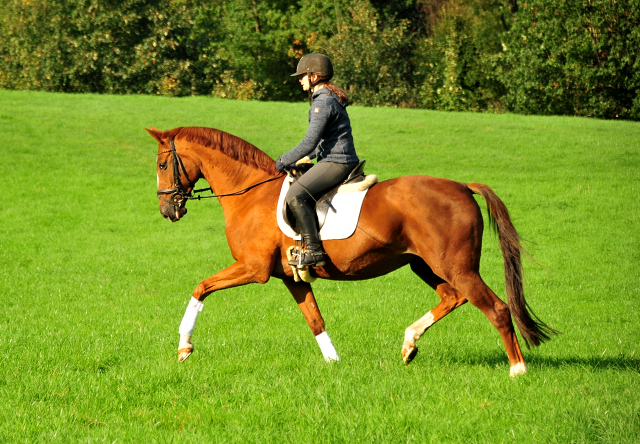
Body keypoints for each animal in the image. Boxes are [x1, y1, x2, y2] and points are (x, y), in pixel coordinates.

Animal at [145, 125, 556, 378]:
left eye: (163, 163)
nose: (167, 210)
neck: (250, 193)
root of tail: (461, 187)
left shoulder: (252, 268)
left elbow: (200, 288)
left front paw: (184, 347)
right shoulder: (291, 278)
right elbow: (315, 319)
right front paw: (334, 362)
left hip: (455, 266)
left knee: (496, 308)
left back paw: (517, 369)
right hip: (424, 265)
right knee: (454, 297)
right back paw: (409, 344)